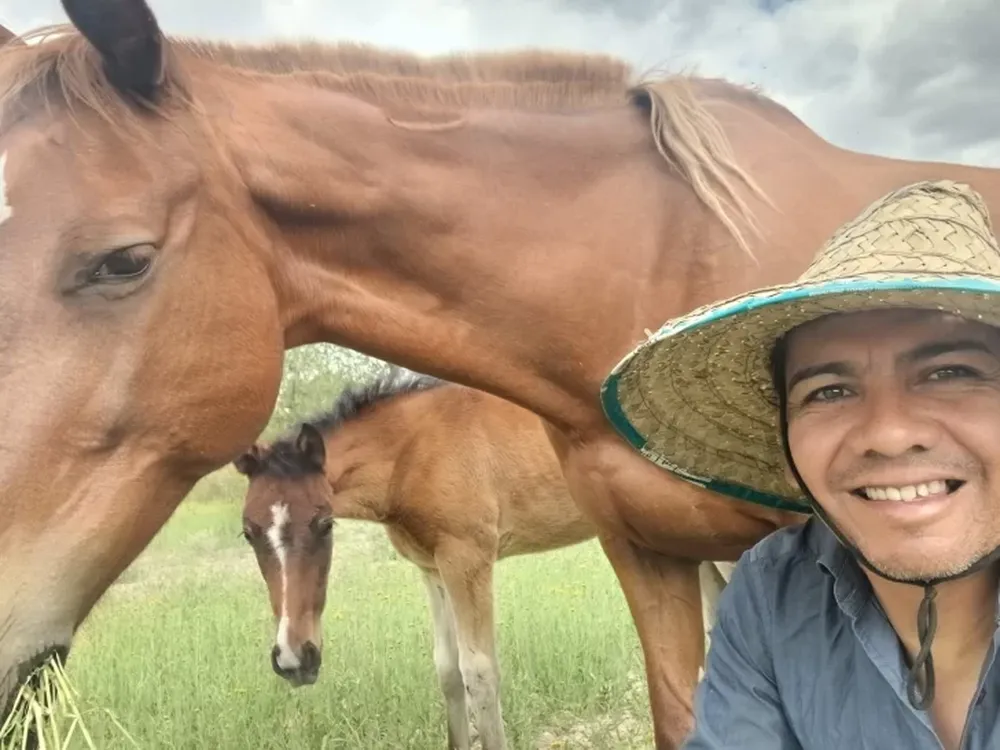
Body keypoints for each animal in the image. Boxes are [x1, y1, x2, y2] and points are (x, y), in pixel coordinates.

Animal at [233, 366, 731, 750]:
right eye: (248, 532)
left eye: (324, 524)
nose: (293, 659)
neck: (413, 452)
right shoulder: (431, 569)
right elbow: (447, 670)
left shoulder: (467, 559)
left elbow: (479, 673)